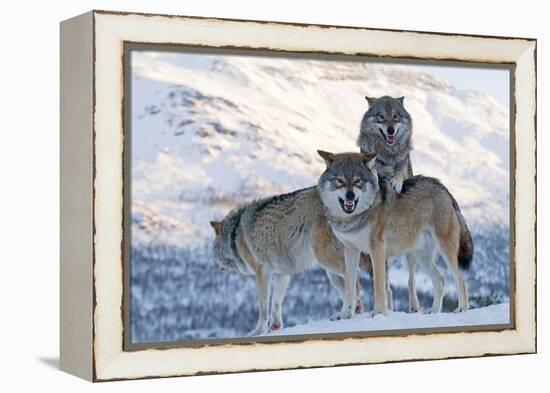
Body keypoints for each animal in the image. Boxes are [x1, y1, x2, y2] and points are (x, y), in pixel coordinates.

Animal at [211, 188, 370, 336]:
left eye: (213, 252)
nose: (218, 268)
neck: (234, 236)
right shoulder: (281, 274)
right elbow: (276, 302)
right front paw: (275, 326)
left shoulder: (262, 271)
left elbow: (263, 306)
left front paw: (258, 331)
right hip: (331, 273)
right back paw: (354, 310)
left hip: (325, 258)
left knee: (354, 277)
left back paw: (349, 311)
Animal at [316, 150, 476, 318]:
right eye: (339, 180)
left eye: (358, 181)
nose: (350, 196)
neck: (353, 217)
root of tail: (444, 188)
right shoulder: (350, 250)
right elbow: (349, 287)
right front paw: (345, 314)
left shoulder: (377, 249)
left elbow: (379, 286)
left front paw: (379, 313)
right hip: (422, 257)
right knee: (441, 280)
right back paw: (433, 311)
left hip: (445, 251)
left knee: (460, 280)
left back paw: (461, 309)